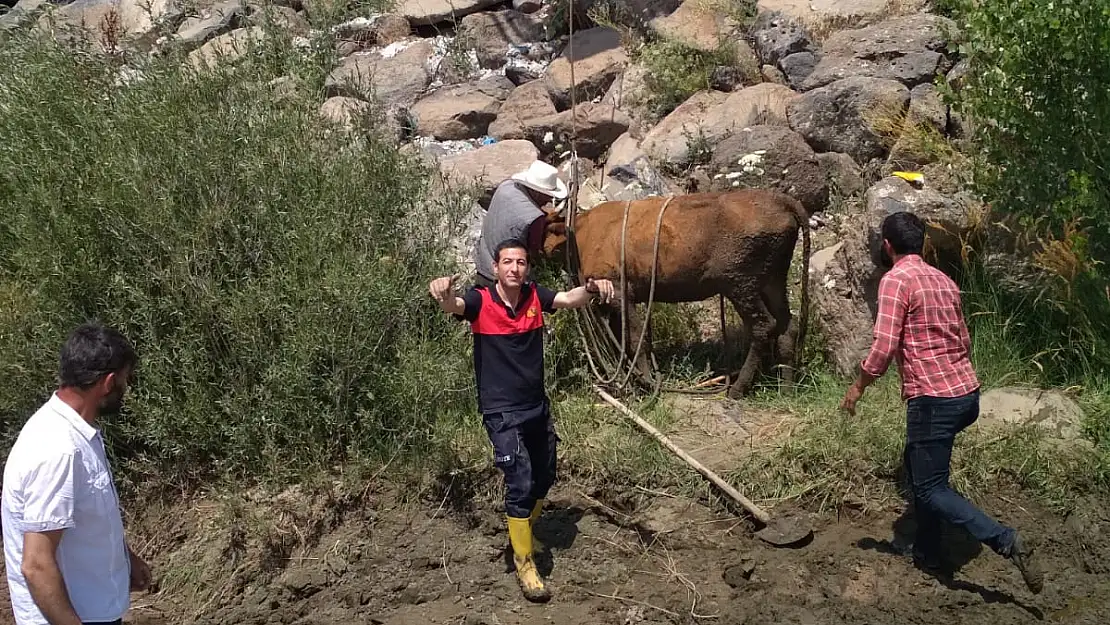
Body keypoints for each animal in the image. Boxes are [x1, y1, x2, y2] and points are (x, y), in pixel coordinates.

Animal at [541, 188, 812, 399]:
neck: (581, 232)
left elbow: (637, 339)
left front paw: (647, 382)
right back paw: (786, 387)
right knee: (788, 325)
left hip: (741, 285)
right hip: (771, 281)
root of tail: (780, 200)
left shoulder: (620, 291)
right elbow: (622, 340)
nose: (542, 249)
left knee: (763, 326)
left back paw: (737, 390)